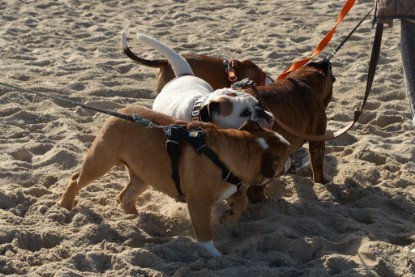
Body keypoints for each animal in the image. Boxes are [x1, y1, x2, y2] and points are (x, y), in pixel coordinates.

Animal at [57, 105, 292, 256]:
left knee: (125, 196)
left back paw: (136, 218)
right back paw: (65, 206)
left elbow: (241, 201)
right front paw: (215, 255)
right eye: (286, 155)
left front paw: (229, 217)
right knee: (75, 180)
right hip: (99, 162)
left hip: (142, 177)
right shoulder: (198, 203)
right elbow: (205, 234)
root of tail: (121, 112)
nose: (291, 163)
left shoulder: (231, 187)